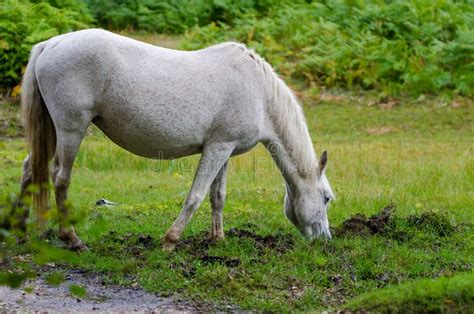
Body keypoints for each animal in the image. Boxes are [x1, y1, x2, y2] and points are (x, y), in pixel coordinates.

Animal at [15, 28, 334, 250]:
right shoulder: (216, 149)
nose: (326, 239)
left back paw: (19, 231)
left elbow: (218, 196)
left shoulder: (224, 150)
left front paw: (217, 240)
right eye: (327, 199)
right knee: (60, 177)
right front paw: (170, 241)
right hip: (71, 129)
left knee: (30, 168)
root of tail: (50, 44)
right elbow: (196, 196)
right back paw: (72, 239)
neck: (259, 93)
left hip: (51, 130)